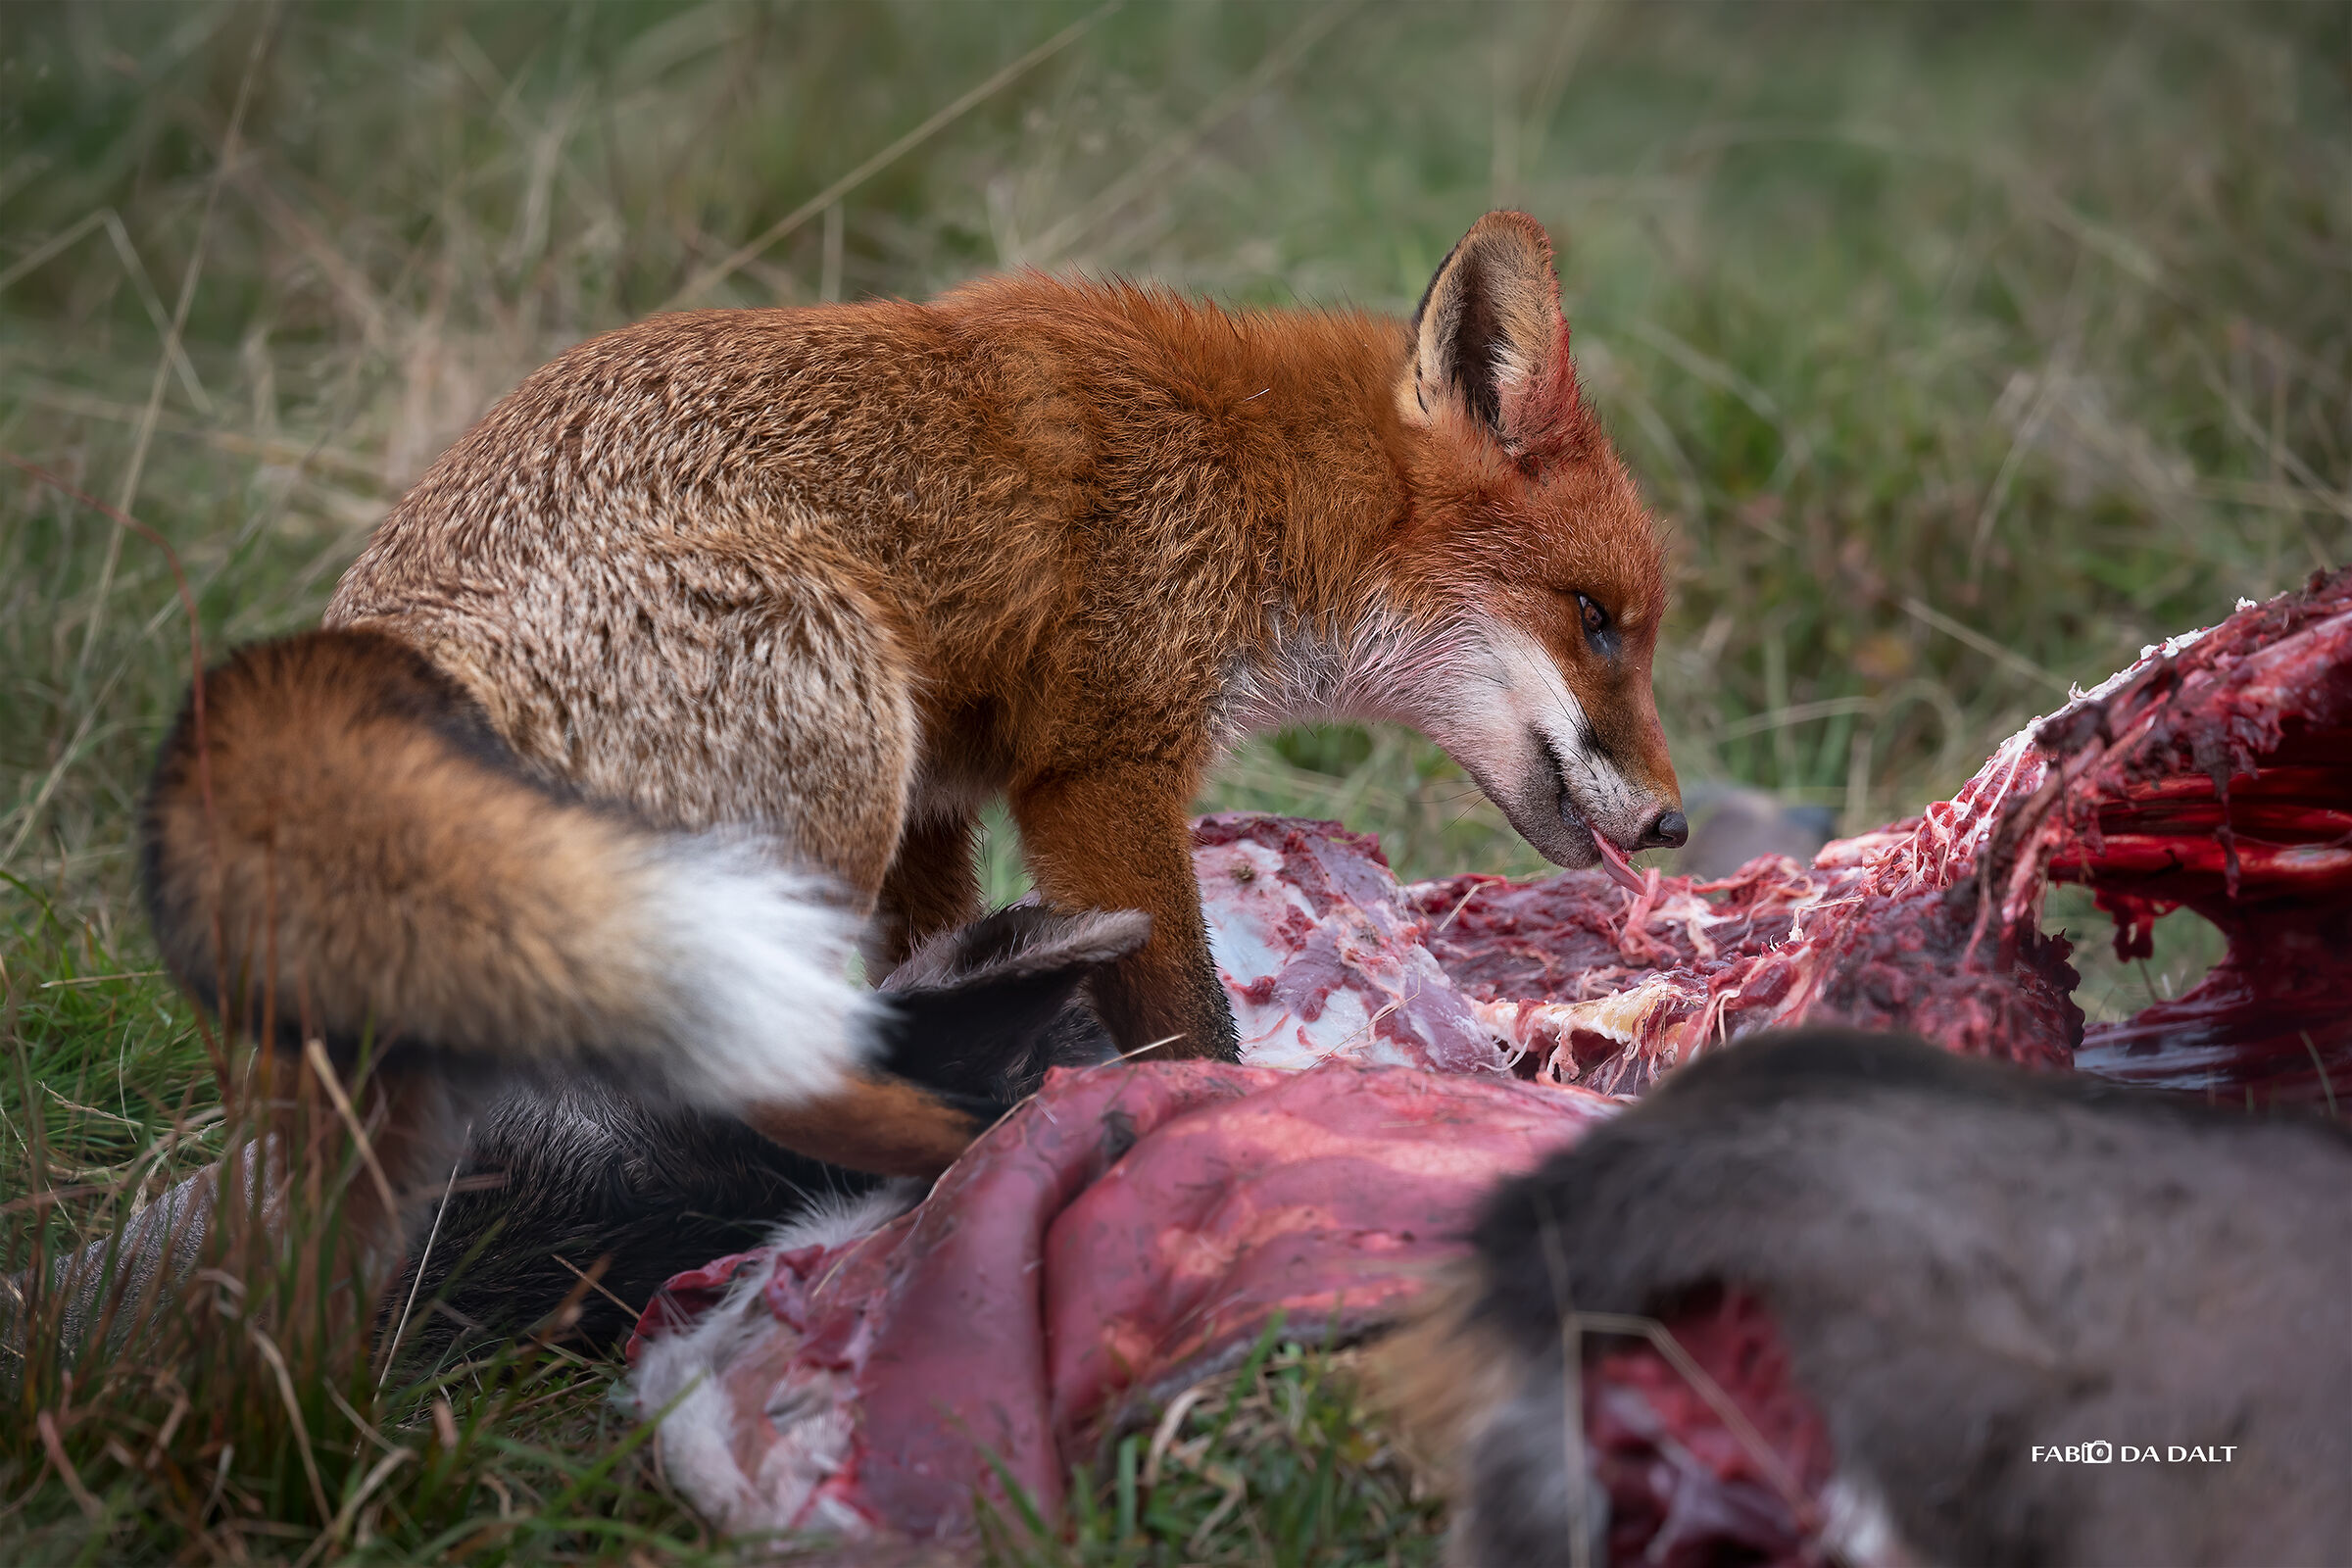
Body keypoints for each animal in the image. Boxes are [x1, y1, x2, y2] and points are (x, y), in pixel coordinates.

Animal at [139, 209, 1685, 1210]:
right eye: (1596, 619)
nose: (1675, 825)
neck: (1239, 477)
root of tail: (376, 654)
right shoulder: (1100, 771)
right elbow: (1193, 1028)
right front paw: (1219, 1133)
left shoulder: (943, 812)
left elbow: (953, 946)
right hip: (832, 724)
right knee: (739, 1072)